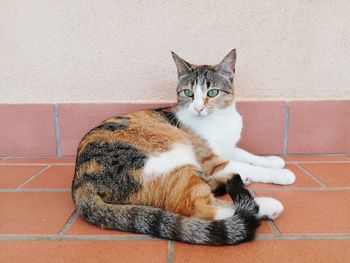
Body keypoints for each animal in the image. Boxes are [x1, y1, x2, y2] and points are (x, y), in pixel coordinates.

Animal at [72, 50, 296, 248]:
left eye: (212, 92)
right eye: (188, 93)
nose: (198, 107)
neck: (220, 119)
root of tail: (81, 182)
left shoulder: (226, 148)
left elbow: (248, 156)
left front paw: (273, 161)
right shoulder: (211, 160)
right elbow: (248, 166)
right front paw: (282, 174)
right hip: (175, 156)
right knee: (201, 208)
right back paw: (266, 205)